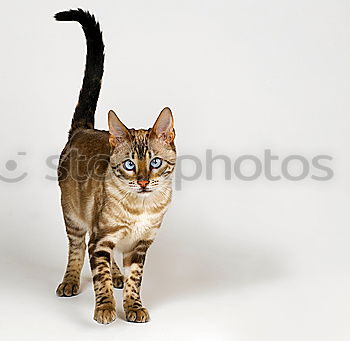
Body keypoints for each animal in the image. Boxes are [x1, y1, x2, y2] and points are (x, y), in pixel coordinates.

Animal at [54, 9, 176, 324]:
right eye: (130, 164)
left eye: (155, 162)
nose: (143, 182)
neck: (141, 208)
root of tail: (84, 129)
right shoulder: (102, 236)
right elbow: (100, 278)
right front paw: (106, 308)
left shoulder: (140, 243)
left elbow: (135, 280)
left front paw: (133, 306)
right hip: (73, 216)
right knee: (77, 249)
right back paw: (70, 282)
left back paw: (117, 275)